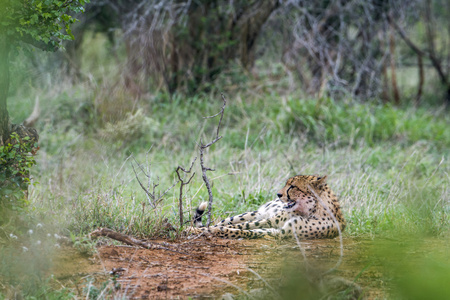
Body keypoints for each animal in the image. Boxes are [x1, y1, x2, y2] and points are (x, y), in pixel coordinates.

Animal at [188, 175, 346, 240]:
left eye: (293, 186)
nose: (279, 194)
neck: (311, 210)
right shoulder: (271, 221)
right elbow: (239, 226)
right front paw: (196, 230)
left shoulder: (279, 231)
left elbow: (245, 230)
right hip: (254, 214)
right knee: (227, 221)